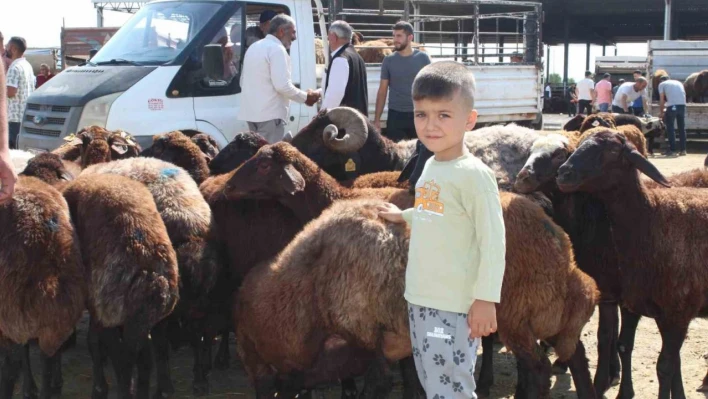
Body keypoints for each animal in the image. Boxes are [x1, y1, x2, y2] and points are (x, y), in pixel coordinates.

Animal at [61, 176, 180, 399]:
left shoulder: (101, 310)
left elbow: (94, 343)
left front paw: (99, 388)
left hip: (113, 311)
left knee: (124, 358)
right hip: (154, 316)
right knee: (152, 352)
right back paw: (160, 391)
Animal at [556, 130, 708, 398]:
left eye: (613, 151)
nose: (563, 173)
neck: (652, 219)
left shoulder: (679, 311)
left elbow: (665, 366)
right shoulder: (658, 311)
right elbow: (670, 362)